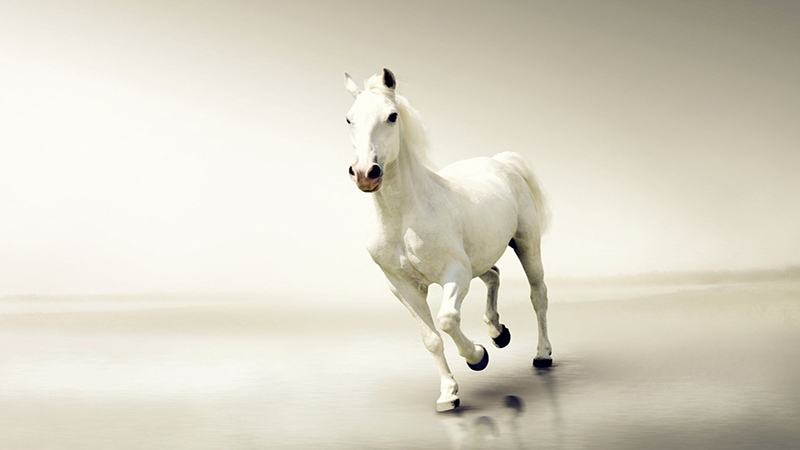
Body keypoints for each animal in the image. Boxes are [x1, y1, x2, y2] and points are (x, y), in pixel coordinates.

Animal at [343, 68, 552, 412]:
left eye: (392, 116)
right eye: (349, 119)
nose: (364, 173)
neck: (404, 218)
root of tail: (501, 162)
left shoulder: (455, 273)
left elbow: (447, 319)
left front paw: (477, 357)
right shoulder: (402, 286)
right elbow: (430, 338)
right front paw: (448, 395)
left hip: (526, 244)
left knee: (538, 295)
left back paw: (542, 354)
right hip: (479, 258)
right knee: (493, 275)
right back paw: (498, 332)